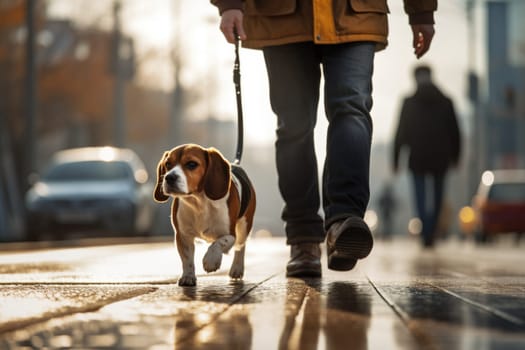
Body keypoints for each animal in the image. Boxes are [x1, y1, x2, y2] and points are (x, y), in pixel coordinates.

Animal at [154, 144, 256, 286]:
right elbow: (187, 259)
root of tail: (235, 165)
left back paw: (237, 268)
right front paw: (188, 276)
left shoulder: (230, 234)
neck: (199, 202)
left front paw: (211, 261)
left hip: (243, 227)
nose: (169, 177)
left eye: (192, 164)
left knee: (240, 247)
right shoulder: (183, 235)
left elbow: (219, 242)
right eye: (168, 164)